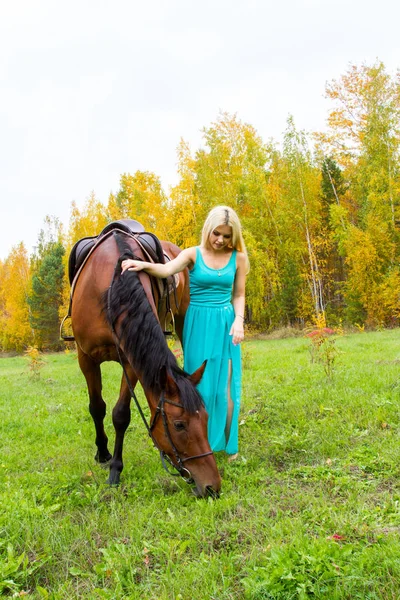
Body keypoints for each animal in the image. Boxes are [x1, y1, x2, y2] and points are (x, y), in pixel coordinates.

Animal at [71, 227, 222, 500]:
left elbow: (121, 415)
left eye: (205, 419)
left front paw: (115, 469)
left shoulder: (132, 360)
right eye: (179, 425)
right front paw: (105, 457)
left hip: (183, 320)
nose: (212, 487)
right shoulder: (85, 357)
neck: (110, 288)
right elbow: (97, 407)